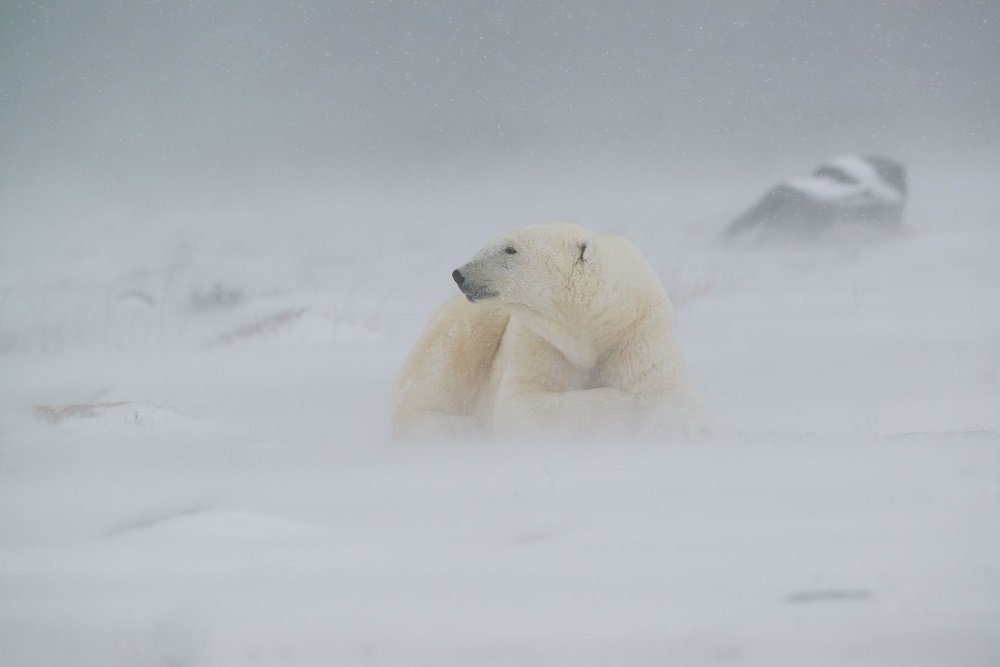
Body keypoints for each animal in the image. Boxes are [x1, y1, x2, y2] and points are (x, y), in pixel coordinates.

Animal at [390, 223, 704, 438]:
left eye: (510, 248)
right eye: (489, 244)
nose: (459, 273)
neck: (593, 328)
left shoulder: (636, 335)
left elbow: (669, 390)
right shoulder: (540, 342)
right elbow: (522, 404)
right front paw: (625, 403)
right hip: (467, 327)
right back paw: (459, 426)